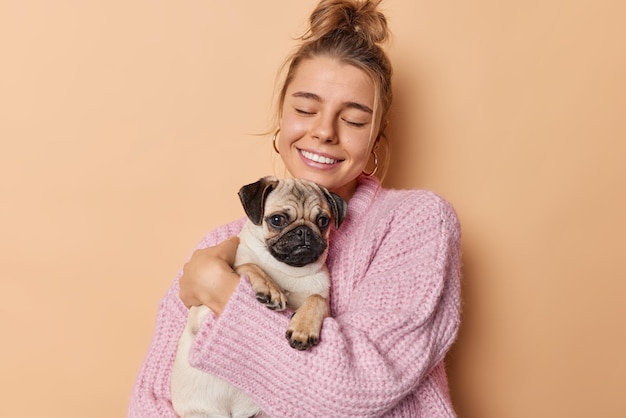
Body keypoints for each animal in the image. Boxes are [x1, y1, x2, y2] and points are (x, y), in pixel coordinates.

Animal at [171, 176, 346, 418]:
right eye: (277, 220)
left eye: (322, 221)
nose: (304, 231)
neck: (287, 271)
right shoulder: (201, 313)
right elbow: (249, 265)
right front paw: (270, 288)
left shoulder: (327, 309)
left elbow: (316, 299)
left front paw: (303, 327)